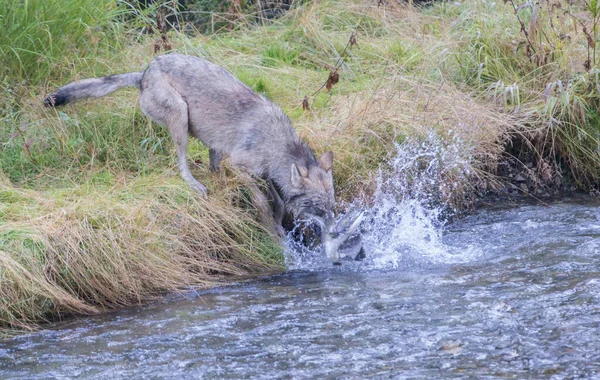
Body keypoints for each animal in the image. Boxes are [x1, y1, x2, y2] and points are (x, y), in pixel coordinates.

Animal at [45, 53, 338, 226]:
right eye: (319, 209)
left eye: (331, 205)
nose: (335, 227)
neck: (278, 146)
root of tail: (145, 72)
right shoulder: (241, 166)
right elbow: (261, 201)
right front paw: (270, 223)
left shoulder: (265, 174)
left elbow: (278, 201)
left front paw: (278, 220)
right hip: (180, 117)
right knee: (182, 163)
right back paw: (195, 184)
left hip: (207, 139)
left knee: (211, 163)